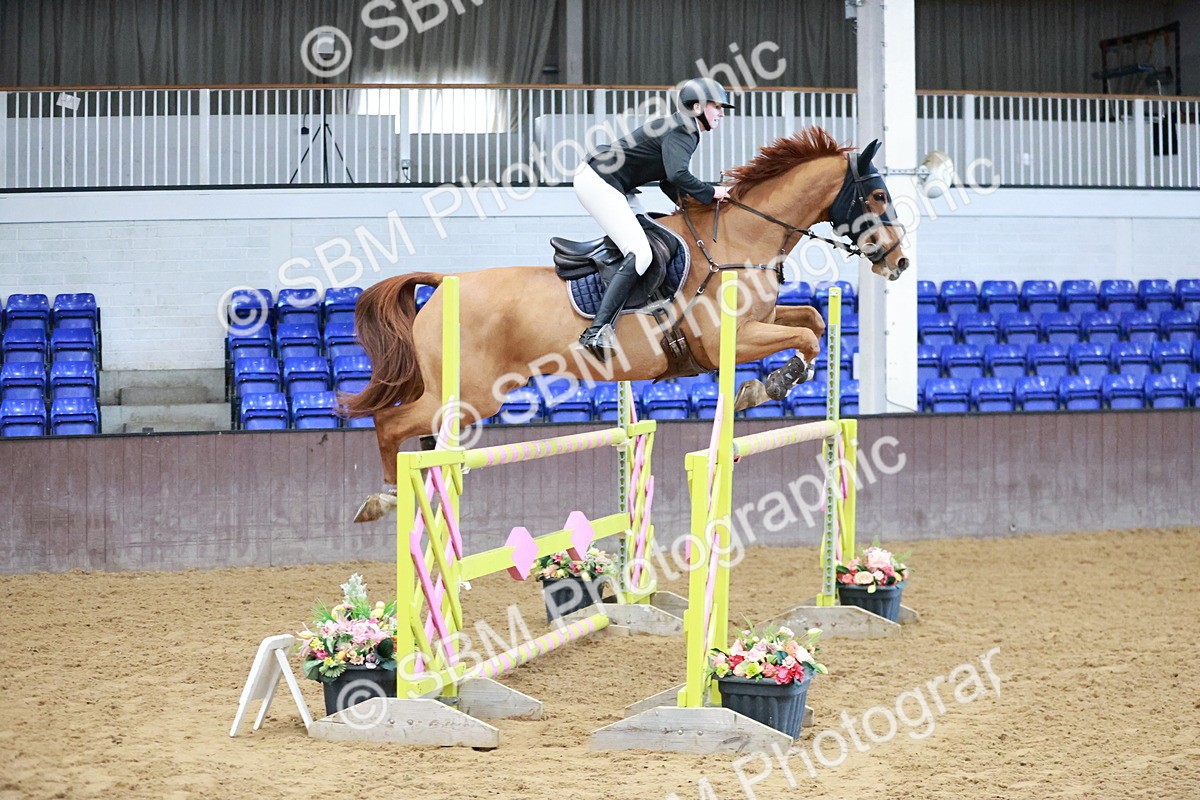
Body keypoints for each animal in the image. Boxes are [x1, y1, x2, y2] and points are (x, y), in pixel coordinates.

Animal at [343, 126, 908, 522]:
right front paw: (770, 384)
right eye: (878, 196)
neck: (741, 241)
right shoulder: (726, 340)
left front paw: (773, 382)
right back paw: (383, 499)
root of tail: (445, 283)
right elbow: (806, 334)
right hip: (471, 395)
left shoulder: (762, 320)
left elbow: (811, 320)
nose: (899, 262)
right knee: (390, 422)